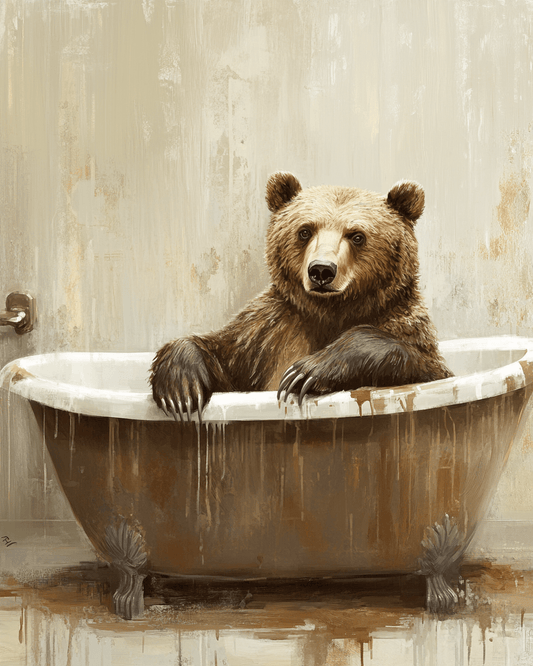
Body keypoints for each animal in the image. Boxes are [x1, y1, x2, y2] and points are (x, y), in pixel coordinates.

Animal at [150, 172, 452, 422]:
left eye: (356, 235)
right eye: (305, 230)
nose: (321, 270)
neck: (331, 310)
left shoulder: (401, 322)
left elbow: (426, 366)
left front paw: (304, 373)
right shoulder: (267, 334)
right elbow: (223, 355)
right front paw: (180, 388)